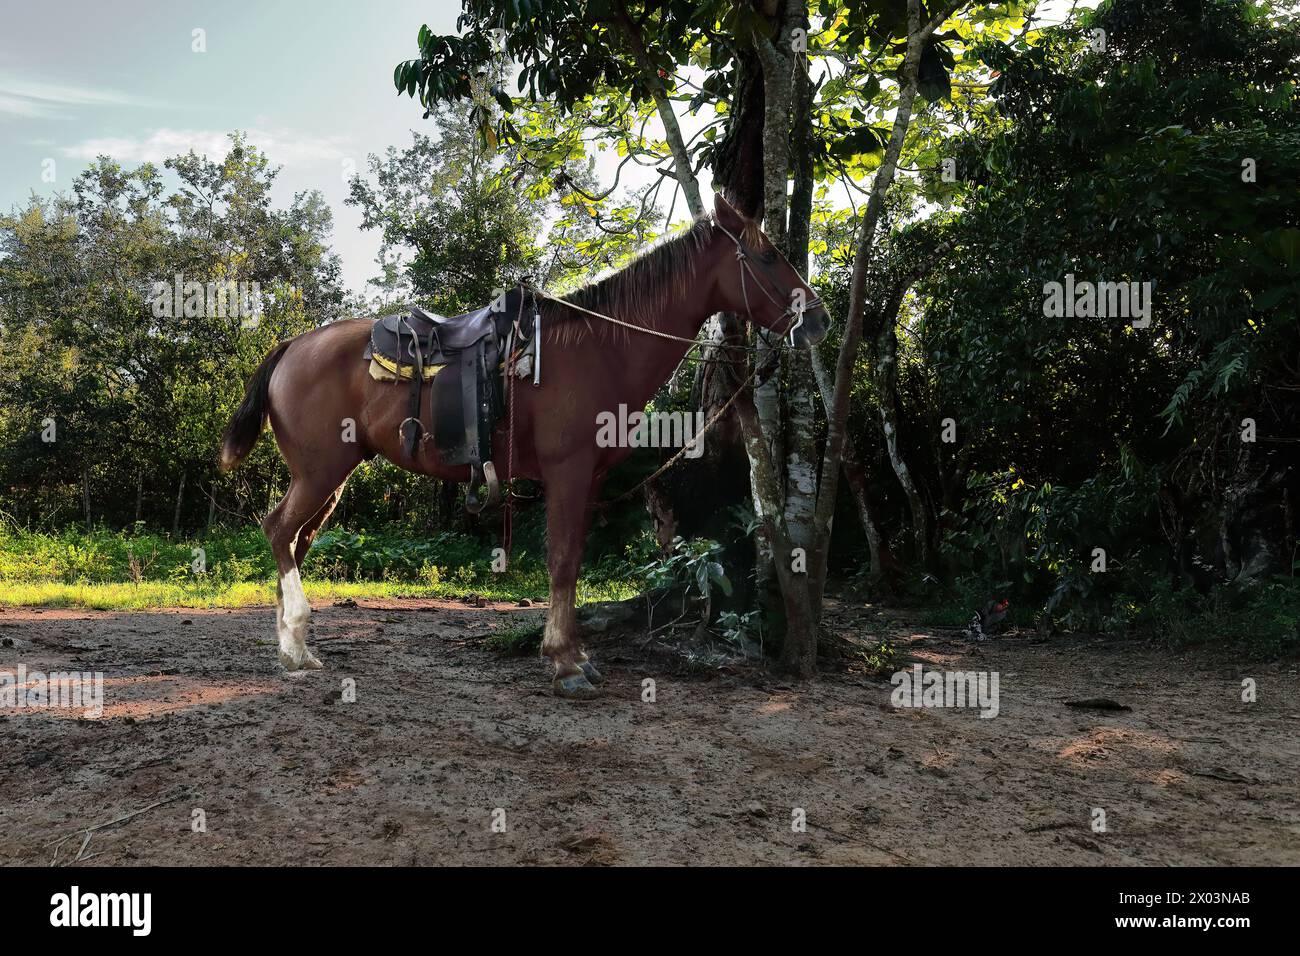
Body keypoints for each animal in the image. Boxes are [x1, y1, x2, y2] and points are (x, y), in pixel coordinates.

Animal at [213, 196, 821, 702]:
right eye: (768, 255)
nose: (816, 318)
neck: (602, 347)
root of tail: (292, 344)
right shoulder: (567, 471)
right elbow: (562, 561)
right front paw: (565, 664)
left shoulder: (588, 477)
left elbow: (572, 560)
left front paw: (575, 655)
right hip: (320, 472)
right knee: (278, 531)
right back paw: (295, 646)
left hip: (329, 478)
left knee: (295, 540)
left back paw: (296, 646)